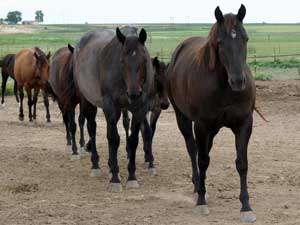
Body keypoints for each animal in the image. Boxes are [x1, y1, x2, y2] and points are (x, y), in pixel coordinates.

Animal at [166, 4, 255, 222]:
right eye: (221, 43)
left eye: (245, 38)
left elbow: (242, 163)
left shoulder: (244, 124)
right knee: (193, 150)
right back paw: (198, 186)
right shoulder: (202, 126)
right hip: (184, 119)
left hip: (213, 130)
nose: (238, 81)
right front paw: (201, 202)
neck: (223, 87)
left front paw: (246, 207)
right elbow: (202, 160)